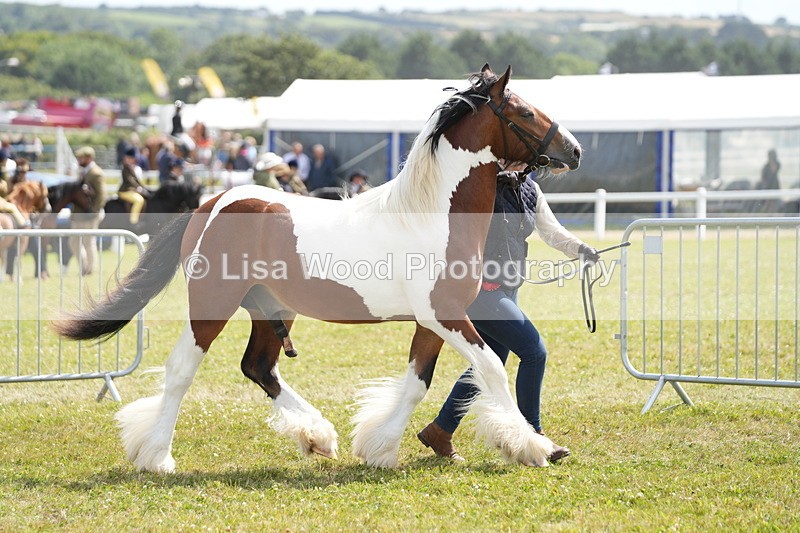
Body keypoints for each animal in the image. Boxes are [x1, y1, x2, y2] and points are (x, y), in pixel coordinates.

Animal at [54, 64, 582, 472]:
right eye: (523, 111)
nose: (574, 150)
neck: (430, 214)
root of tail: (211, 203)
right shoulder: (446, 315)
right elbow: (491, 369)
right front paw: (535, 446)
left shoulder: (432, 322)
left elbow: (418, 382)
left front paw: (379, 448)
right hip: (213, 303)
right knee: (183, 369)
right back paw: (158, 457)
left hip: (270, 308)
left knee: (258, 367)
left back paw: (318, 436)